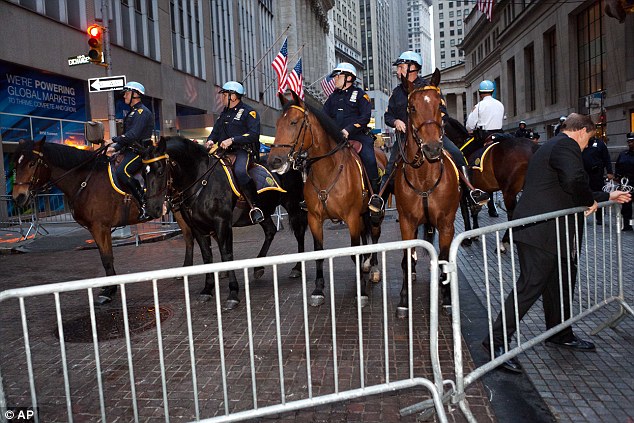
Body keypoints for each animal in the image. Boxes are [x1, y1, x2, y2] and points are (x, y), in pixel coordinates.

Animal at [11, 139, 188, 304]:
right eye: (15, 165)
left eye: (32, 163)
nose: (18, 197)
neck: (85, 181)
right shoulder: (97, 228)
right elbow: (106, 256)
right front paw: (109, 287)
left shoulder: (100, 227)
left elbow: (106, 258)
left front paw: (108, 291)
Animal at [266, 92, 386, 308]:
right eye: (278, 124)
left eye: (294, 122)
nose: (274, 161)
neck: (328, 171)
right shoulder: (314, 219)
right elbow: (319, 251)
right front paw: (318, 290)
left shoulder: (351, 218)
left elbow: (354, 250)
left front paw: (361, 291)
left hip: (374, 214)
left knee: (374, 235)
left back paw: (373, 269)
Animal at [392, 68, 456, 314]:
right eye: (411, 108)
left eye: (440, 105)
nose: (432, 148)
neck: (424, 179)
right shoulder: (406, 222)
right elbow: (406, 258)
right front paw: (403, 299)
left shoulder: (447, 224)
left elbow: (445, 258)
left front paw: (447, 297)